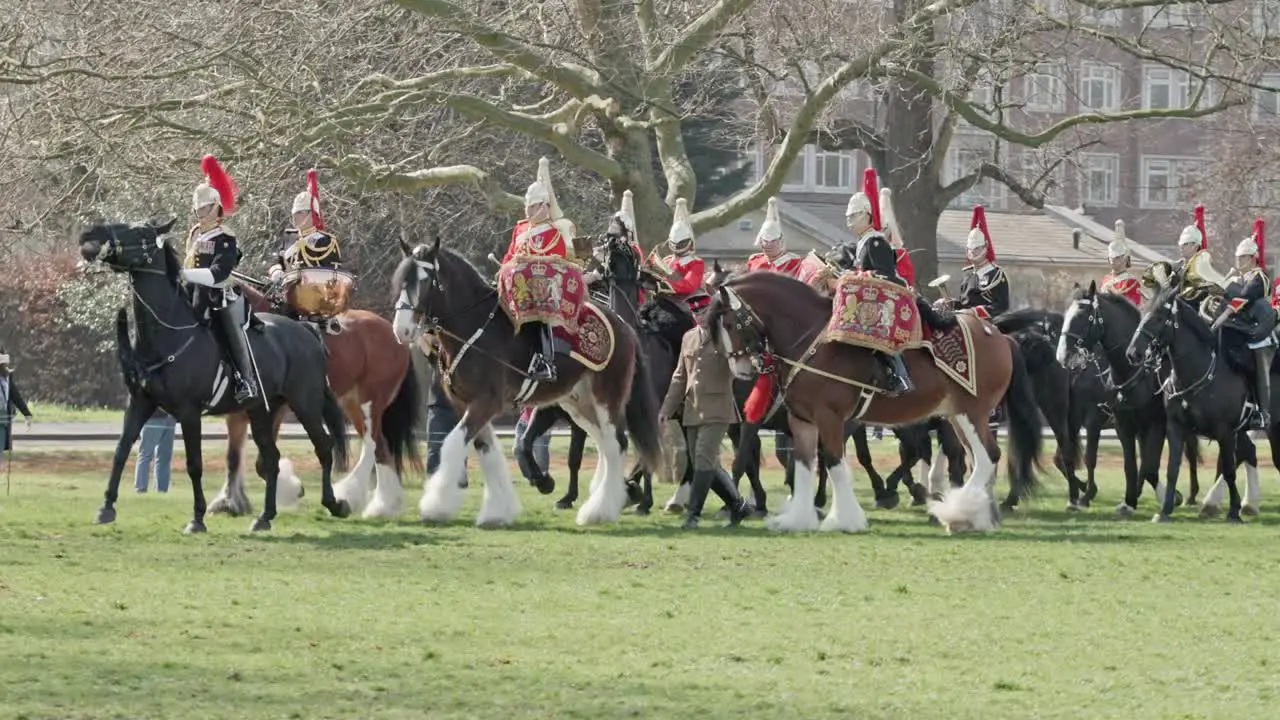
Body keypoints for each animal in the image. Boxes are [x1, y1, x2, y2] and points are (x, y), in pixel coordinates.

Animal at [79, 219, 350, 532]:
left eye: (139, 233)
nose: (89, 236)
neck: (168, 333)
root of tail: (306, 329)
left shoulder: (188, 411)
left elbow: (194, 464)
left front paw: (197, 518)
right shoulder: (140, 403)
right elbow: (121, 451)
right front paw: (106, 507)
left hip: (304, 403)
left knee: (324, 446)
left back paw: (334, 504)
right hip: (262, 410)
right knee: (271, 458)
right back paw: (264, 517)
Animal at [204, 279, 422, 515]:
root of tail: (395, 334)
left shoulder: (274, 409)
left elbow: (262, 461)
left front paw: (291, 490)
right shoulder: (238, 412)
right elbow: (233, 456)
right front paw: (229, 502)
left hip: (371, 403)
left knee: (374, 446)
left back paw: (365, 501)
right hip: (352, 404)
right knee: (380, 448)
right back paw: (383, 504)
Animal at [389, 238, 660, 525]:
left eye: (425, 280)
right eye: (400, 280)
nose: (401, 329)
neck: (477, 329)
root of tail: (624, 326)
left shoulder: (486, 402)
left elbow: (452, 445)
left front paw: (436, 505)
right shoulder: (465, 403)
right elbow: (486, 451)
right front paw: (497, 510)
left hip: (607, 399)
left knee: (617, 443)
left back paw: (600, 510)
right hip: (579, 404)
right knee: (606, 445)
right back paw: (610, 500)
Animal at [706, 270, 1044, 532]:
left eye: (731, 324)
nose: (741, 370)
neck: (812, 340)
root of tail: (998, 334)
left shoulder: (830, 417)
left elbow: (833, 462)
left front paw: (844, 519)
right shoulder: (801, 420)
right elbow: (803, 464)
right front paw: (797, 518)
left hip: (972, 411)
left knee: (988, 456)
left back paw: (955, 510)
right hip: (956, 415)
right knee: (975, 458)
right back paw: (974, 515)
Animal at [1126, 281, 1254, 520]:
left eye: (1158, 317)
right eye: (1142, 313)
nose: (1132, 354)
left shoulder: (1225, 431)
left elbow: (1229, 470)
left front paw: (1233, 511)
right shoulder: (1176, 428)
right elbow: (1172, 468)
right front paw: (1165, 510)